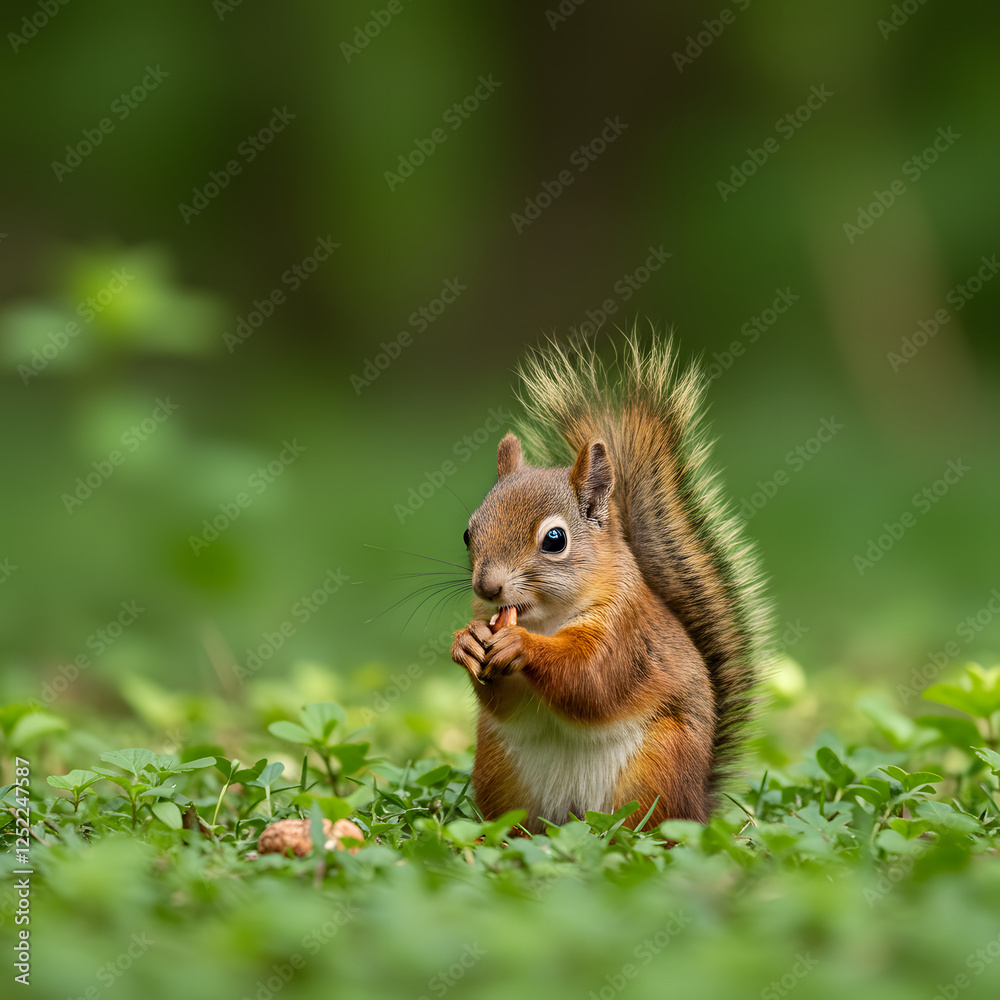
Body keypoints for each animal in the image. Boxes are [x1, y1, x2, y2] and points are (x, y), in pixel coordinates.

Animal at [450, 335, 770, 833]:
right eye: (469, 532)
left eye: (555, 539)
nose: (487, 587)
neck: (545, 618)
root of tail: (700, 803)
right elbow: (500, 700)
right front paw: (466, 641)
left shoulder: (624, 633)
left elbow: (590, 679)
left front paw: (522, 647)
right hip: (501, 771)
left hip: (658, 769)